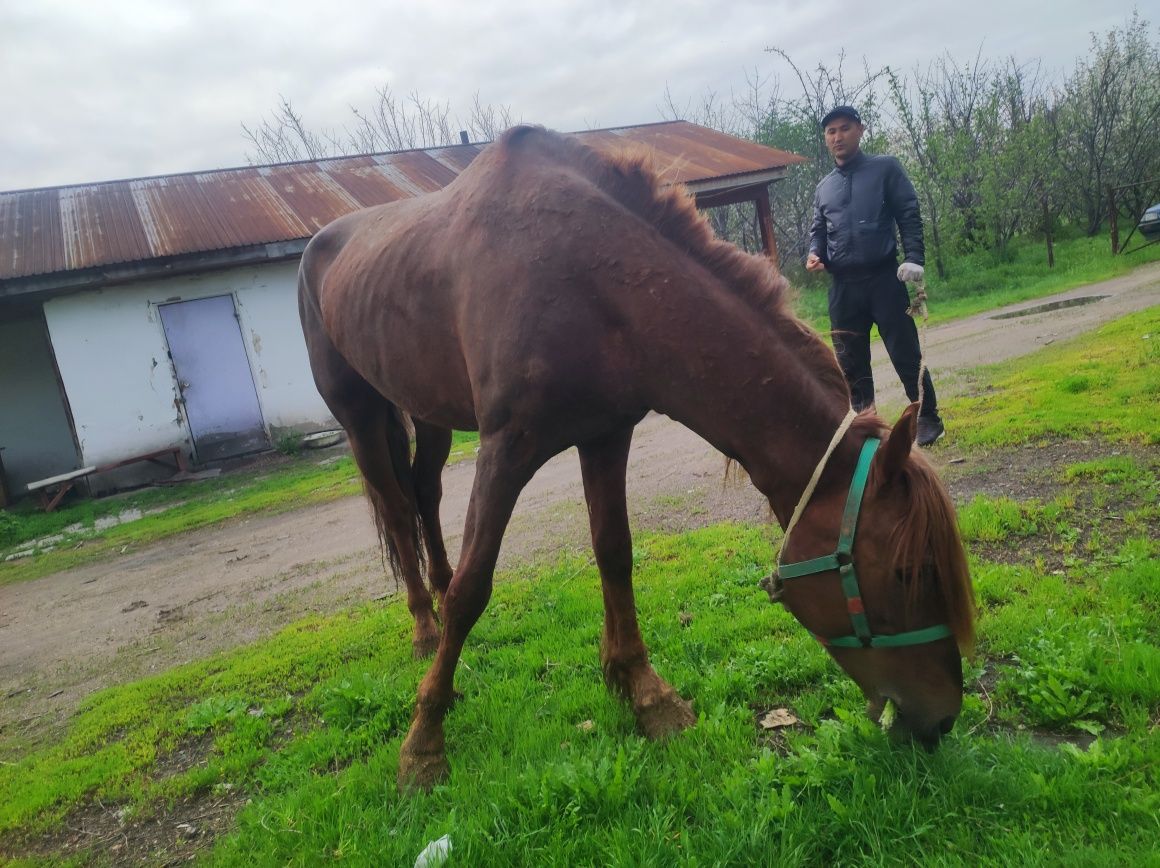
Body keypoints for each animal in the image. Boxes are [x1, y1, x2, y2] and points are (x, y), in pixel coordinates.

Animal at [294, 125, 974, 789]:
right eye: (909, 572)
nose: (941, 720)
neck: (584, 275)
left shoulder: (605, 435)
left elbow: (614, 554)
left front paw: (645, 694)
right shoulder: (506, 449)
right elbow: (473, 588)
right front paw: (423, 743)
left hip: (430, 413)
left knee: (424, 495)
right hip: (361, 417)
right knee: (395, 509)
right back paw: (424, 624)